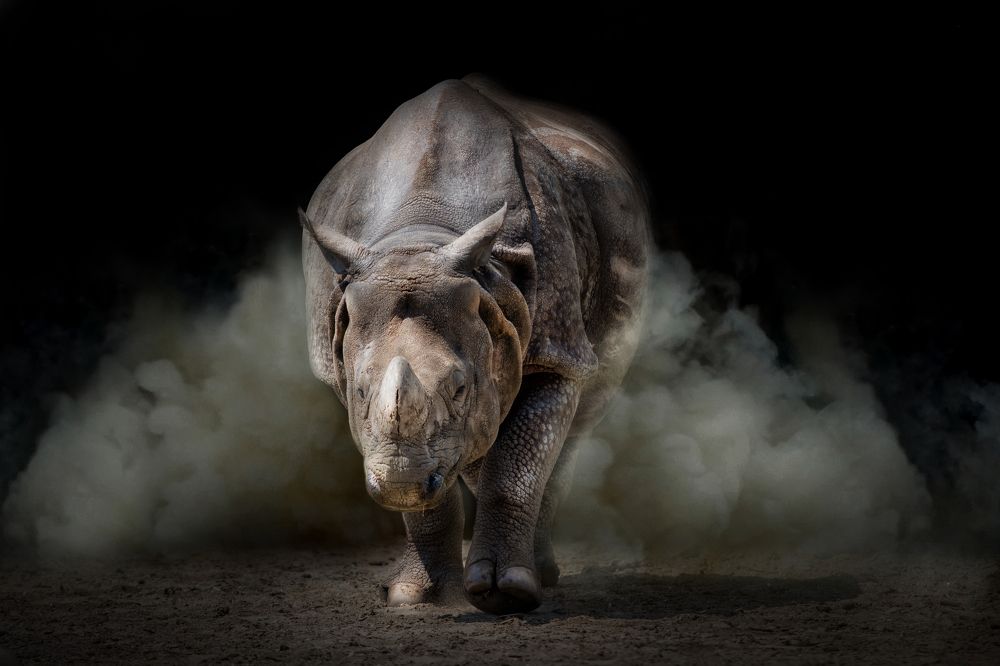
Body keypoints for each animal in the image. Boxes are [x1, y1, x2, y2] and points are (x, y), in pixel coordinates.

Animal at [300, 75, 651, 614]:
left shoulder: (557, 350)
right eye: (359, 391)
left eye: (461, 387)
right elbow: (438, 489)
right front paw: (415, 597)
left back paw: (542, 576)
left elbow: (517, 465)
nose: (400, 482)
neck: (421, 238)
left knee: (576, 423)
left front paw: (509, 592)